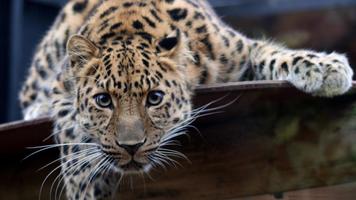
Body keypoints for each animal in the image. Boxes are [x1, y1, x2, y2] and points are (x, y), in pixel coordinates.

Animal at [18, 0, 354, 198]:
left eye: (154, 98)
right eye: (103, 101)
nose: (131, 147)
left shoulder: (241, 51)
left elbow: (275, 55)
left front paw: (327, 68)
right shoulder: (62, 90)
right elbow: (73, 138)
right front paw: (85, 188)